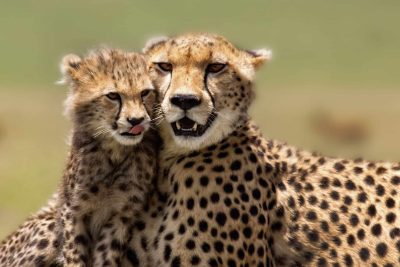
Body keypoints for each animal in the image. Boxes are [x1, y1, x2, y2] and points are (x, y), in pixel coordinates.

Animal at [0, 48, 159, 267]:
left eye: (145, 93)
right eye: (112, 95)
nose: (136, 120)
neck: (115, 152)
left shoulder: (122, 214)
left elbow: (105, 254)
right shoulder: (73, 210)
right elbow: (74, 253)